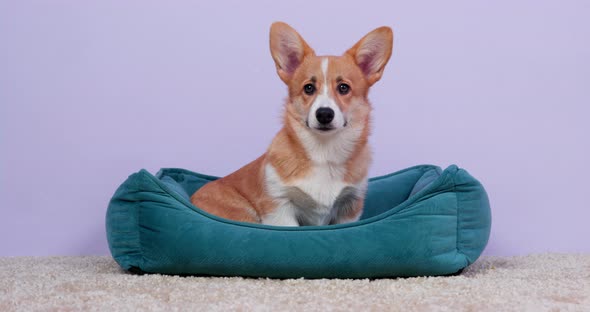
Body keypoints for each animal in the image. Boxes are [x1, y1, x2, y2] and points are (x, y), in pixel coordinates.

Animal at [192, 22, 396, 227]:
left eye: (343, 88)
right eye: (309, 88)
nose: (324, 114)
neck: (324, 151)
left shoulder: (349, 206)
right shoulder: (279, 205)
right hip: (244, 214)